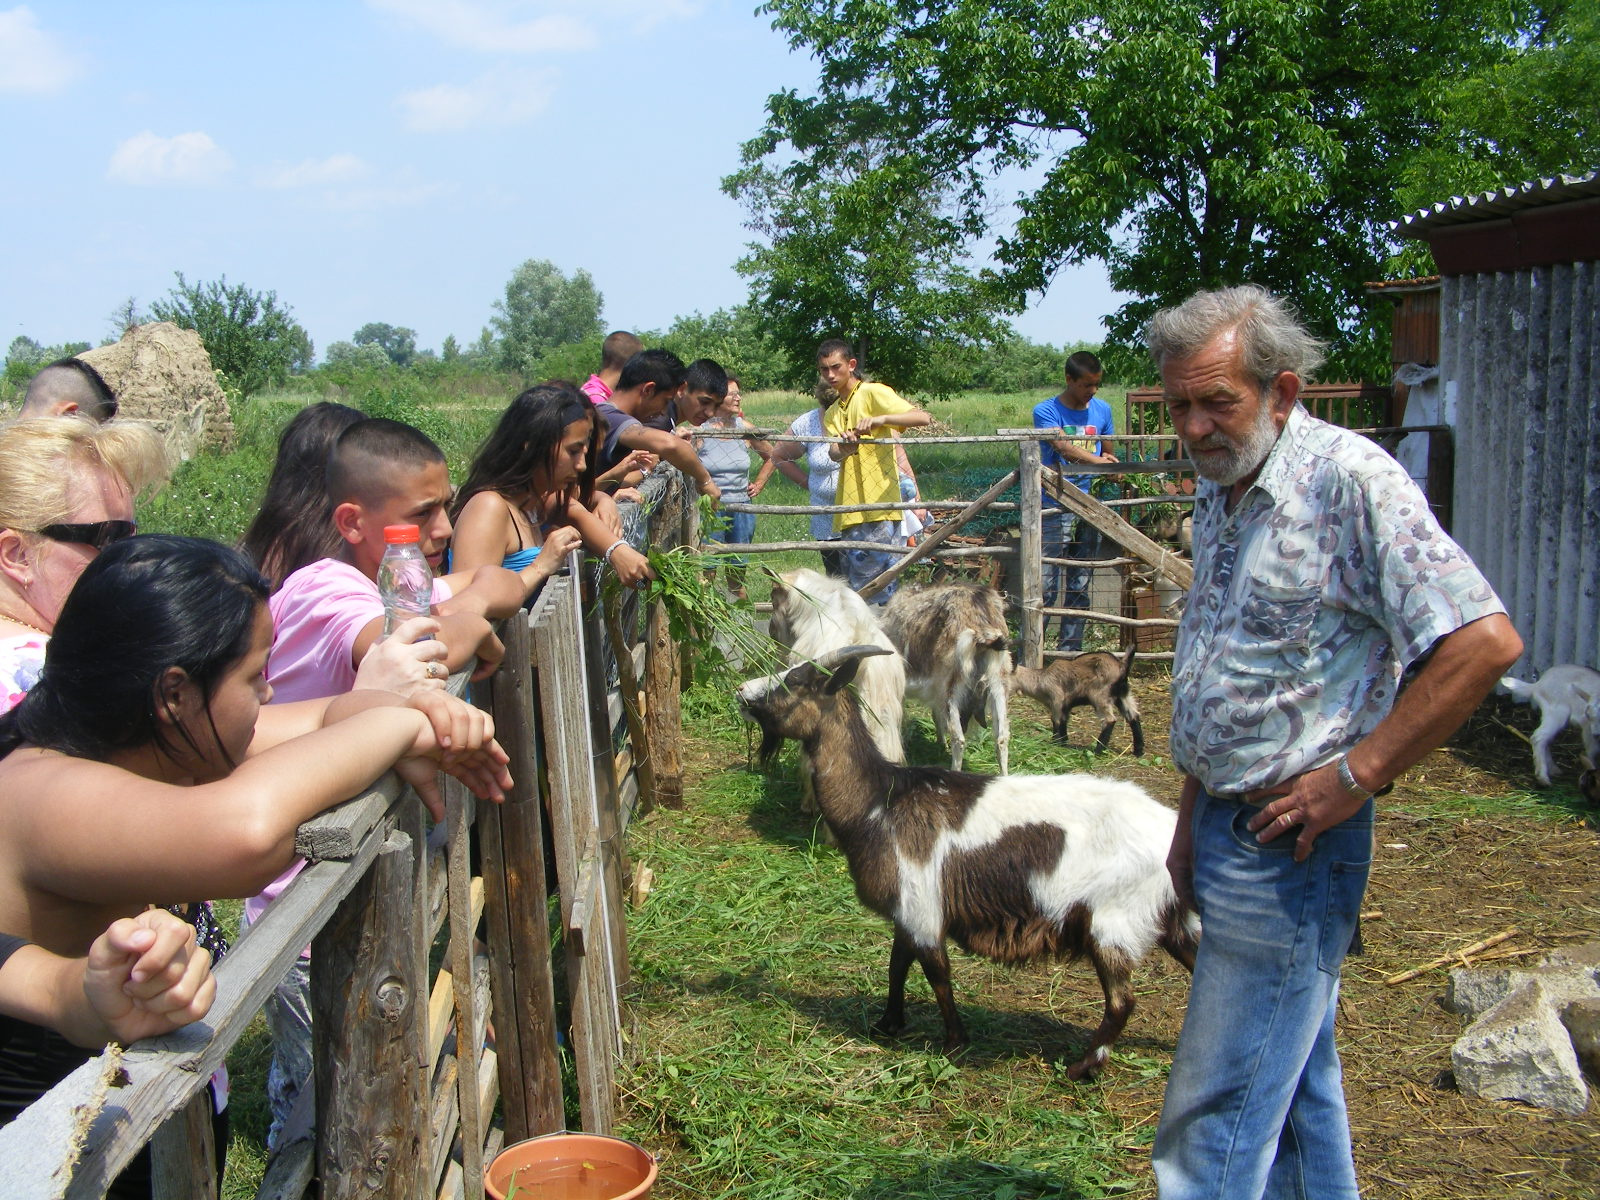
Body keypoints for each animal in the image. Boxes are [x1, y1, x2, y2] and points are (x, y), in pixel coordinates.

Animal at [876, 585, 1011, 774]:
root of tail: (983, 634)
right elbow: (935, 715)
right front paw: (940, 743)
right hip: (999, 681)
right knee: (1002, 737)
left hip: (952, 685)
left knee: (958, 737)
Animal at [1017, 643, 1145, 755]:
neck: (1041, 679)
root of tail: (1121, 666)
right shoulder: (1065, 706)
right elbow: (1063, 721)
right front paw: (1063, 743)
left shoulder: (1057, 700)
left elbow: (1056, 721)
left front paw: (1054, 744)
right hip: (1123, 695)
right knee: (1133, 716)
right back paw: (1139, 751)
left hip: (1099, 696)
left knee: (1109, 720)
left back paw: (1098, 751)